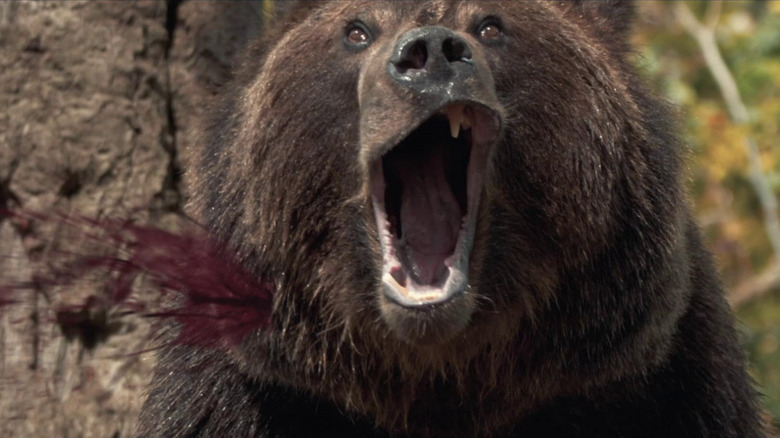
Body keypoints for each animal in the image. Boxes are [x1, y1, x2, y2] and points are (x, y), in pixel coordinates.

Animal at [136, 1, 766, 437]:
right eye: (357, 29)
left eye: (490, 25)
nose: (431, 54)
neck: (441, 378)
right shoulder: (246, 395)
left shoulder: (668, 386)